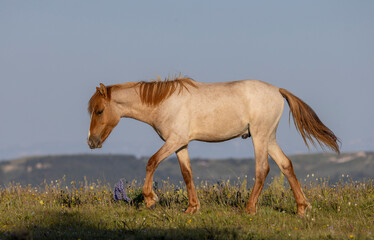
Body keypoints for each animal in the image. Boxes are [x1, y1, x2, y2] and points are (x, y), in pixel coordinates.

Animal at [87, 75, 338, 216]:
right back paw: (302, 208)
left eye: (99, 110)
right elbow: (187, 174)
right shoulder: (181, 145)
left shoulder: (174, 141)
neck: (164, 103)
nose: (91, 142)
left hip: (259, 137)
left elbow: (151, 162)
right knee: (286, 165)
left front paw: (150, 199)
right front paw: (192, 208)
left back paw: (249, 209)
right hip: (269, 138)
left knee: (263, 169)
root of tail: (277, 90)